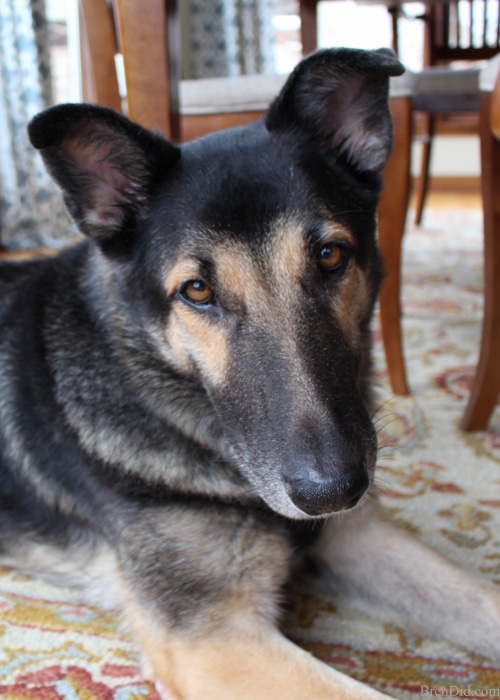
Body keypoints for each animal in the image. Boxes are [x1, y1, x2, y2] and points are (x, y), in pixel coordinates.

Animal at [0, 46, 500, 696]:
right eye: (197, 290)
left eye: (330, 256)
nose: (332, 492)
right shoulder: (214, 640)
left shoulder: (356, 536)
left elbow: (483, 600)